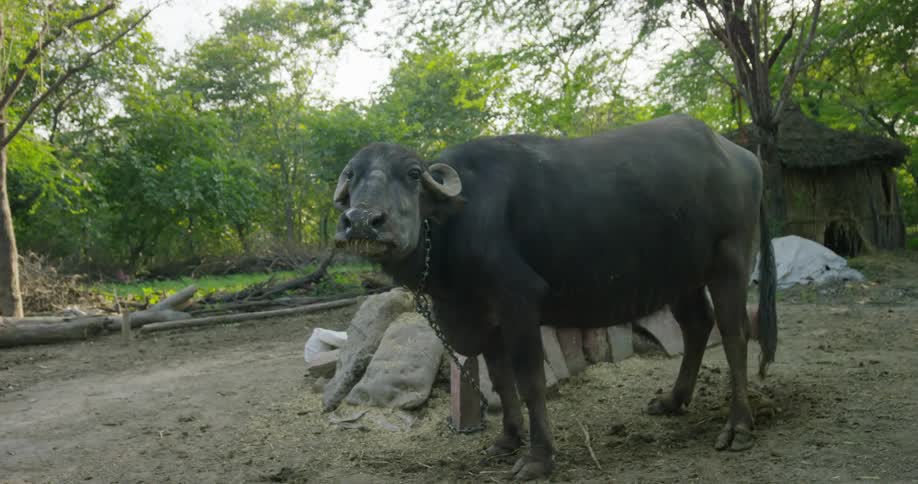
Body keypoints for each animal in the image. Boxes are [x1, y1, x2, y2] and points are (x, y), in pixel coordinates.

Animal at [333, 114, 778, 480]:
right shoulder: (486, 315)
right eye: (351, 176)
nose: (362, 222)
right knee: (697, 325)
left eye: (411, 174)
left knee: (734, 334)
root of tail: (741, 156)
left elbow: (530, 381)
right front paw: (508, 438)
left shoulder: (519, 302)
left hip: (729, 261)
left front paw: (538, 457)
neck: (455, 225)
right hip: (682, 276)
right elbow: (501, 380)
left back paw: (738, 425)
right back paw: (673, 400)